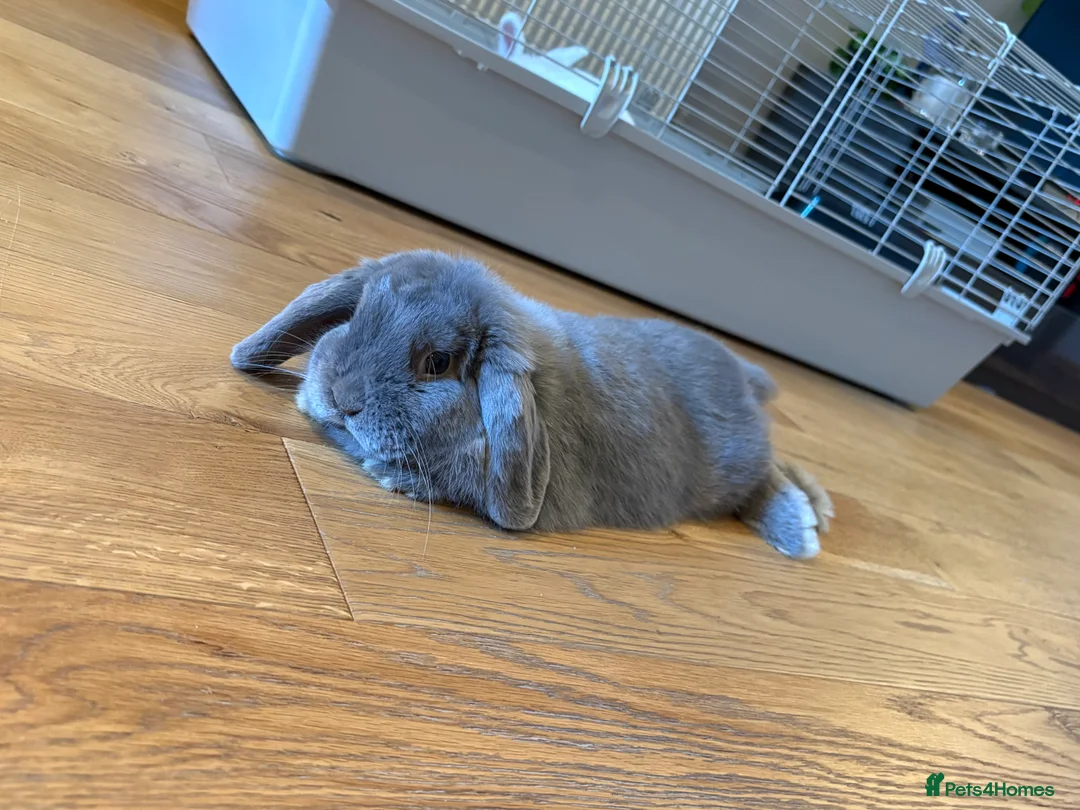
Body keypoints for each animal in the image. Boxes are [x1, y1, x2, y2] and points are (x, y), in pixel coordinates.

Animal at [231, 251, 833, 559]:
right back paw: (817, 510)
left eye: (438, 362)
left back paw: (800, 526)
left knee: (766, 478)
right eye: (356, 316)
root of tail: (745, 376)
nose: (343, 398)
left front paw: (396, 477)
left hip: (730, 468)